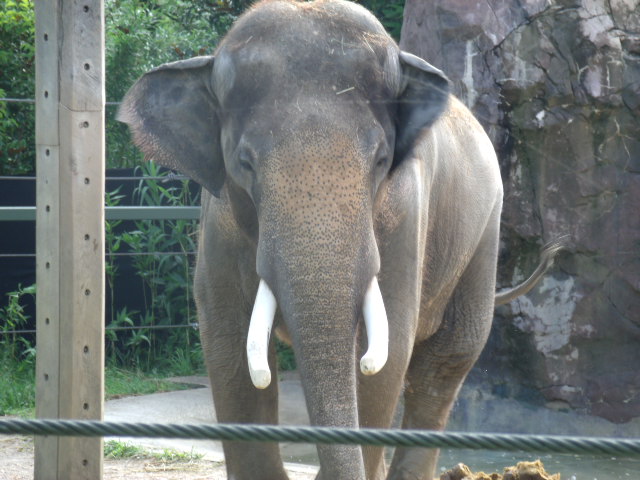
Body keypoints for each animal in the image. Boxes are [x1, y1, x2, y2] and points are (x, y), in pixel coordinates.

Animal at [118, 1, 561, 479]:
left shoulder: (406, 210)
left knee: (445, 361)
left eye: (382, 160)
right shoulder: (219, 222)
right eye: (244, 163)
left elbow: (383, 355)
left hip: (484, 234)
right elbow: (230, 349)